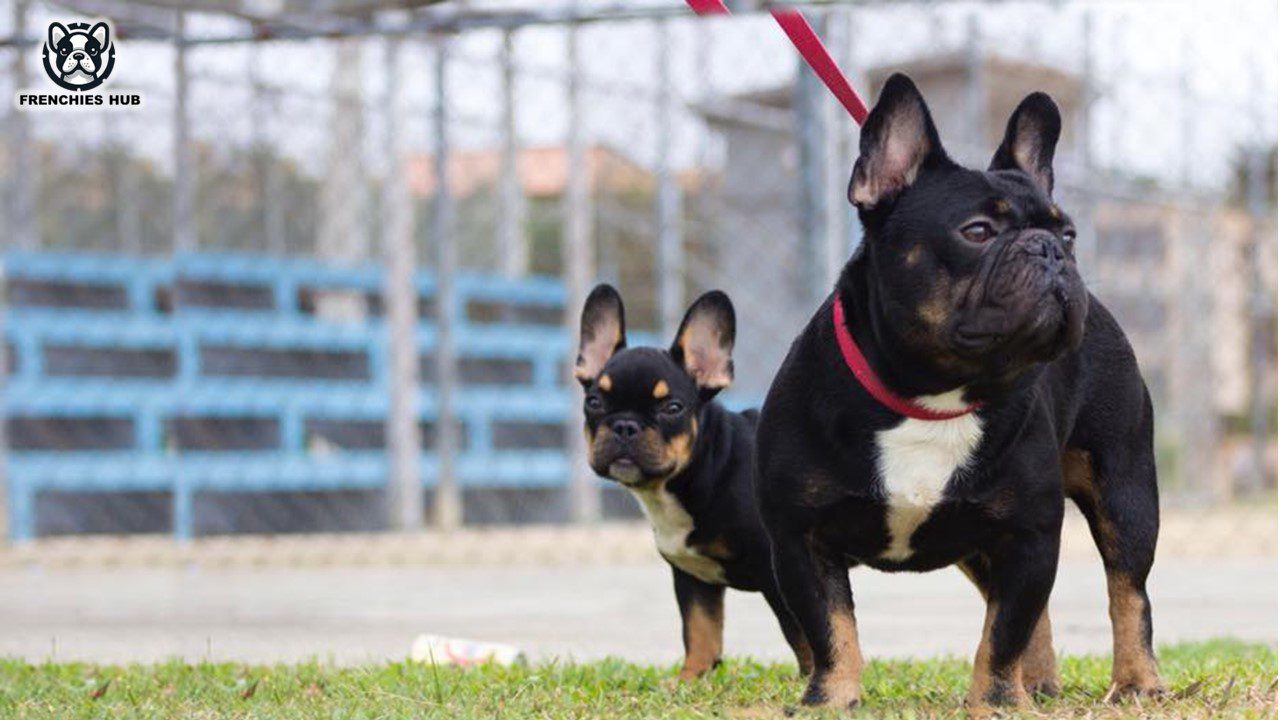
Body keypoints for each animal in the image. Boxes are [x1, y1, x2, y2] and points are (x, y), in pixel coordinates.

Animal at [578, 283, 808, 676]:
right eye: (594, 402)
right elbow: (700, 632)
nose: (625, 425)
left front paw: (815, 680)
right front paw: (690, 679)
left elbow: (803, 637)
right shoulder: (693, 580)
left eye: (672, 408)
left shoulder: (781, 574)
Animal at [752, 73, 1167, 712]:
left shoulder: (1028, 533)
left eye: (1069, 233)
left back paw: (1135, 682)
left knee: (1128, 588)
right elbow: (831, 628)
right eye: (978, 232)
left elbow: (1002, 632)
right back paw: (1038, 683)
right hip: (976, 541)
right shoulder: (801, 537)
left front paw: (994, 701)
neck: (931, 395)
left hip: (1123, 488)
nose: (1051, 250)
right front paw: (830, 700)